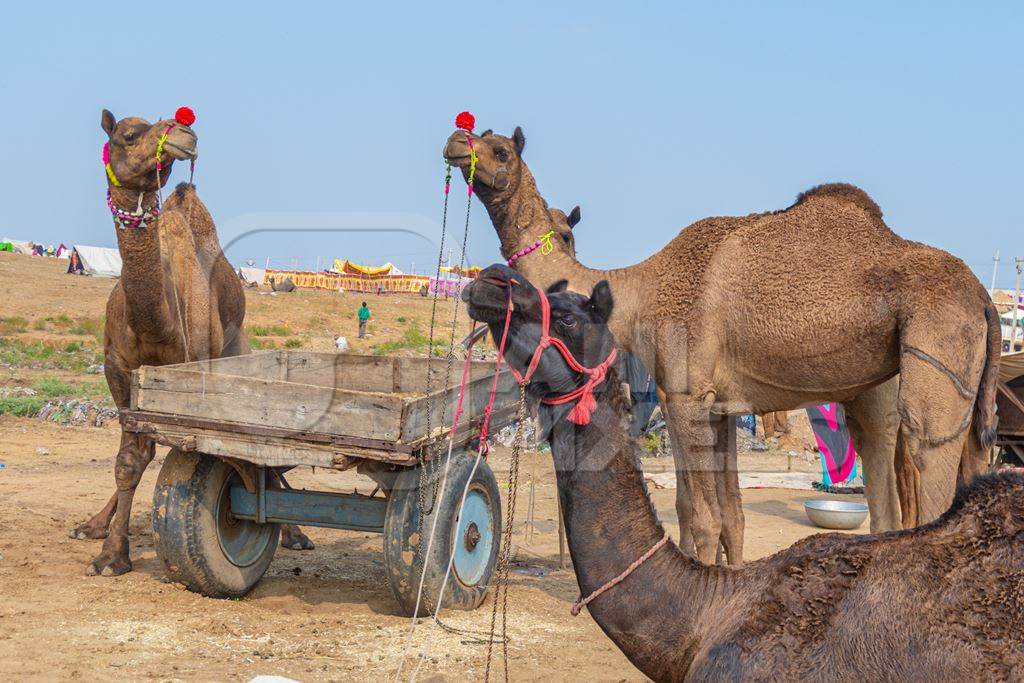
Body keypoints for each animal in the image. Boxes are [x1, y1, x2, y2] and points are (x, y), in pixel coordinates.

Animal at [69, 108, 309, 577]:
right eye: (129, 134)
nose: (184, 132)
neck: (155, 324)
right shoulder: (118, 368)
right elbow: (130, 458)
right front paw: (109, 550)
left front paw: (112, 552)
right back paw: (92, 523)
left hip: (236, 352)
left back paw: (295, 532)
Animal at [442, 125, 999, 565]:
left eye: (500, 151)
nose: (455, 141)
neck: (642, 289)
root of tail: (985, 300)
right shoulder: (721, 407)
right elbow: (729, 516)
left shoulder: (685, 397)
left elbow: (703, 517)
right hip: (887, 390)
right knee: (891, 476)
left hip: (936, 345)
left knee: (928, 451)